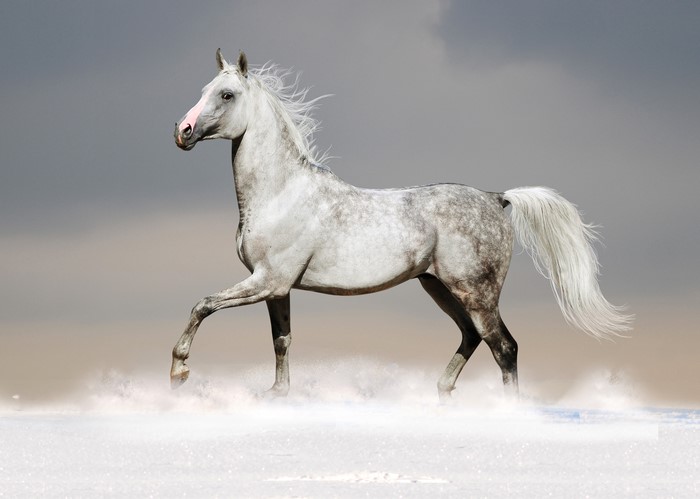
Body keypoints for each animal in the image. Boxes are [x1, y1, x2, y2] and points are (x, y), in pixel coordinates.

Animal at [170, 49, 632, 401]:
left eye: (226, 94)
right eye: (203, 90)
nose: (183, 131)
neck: (280, 193)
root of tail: (496, 198)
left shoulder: (268, 280)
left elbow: (202, 305)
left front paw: (179, 372)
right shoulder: (277, 288)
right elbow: (281, 341)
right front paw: (278, 394)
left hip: (477, 293)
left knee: (504, 347)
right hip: (439, 287)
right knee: (472, 337)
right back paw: (441, 394)